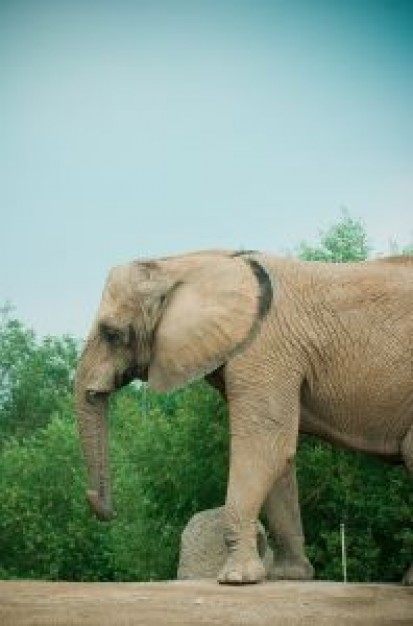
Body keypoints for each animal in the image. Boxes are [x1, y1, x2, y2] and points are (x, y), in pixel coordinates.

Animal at [75, 251, 412, 584]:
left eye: (111, 333)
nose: (106, 510)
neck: (184, 264)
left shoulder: (265, 349)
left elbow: (264, 445)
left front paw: (237, 579)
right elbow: (279, 455)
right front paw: (288, 577)